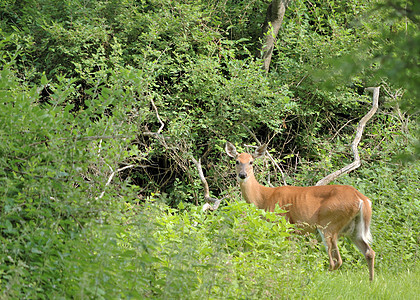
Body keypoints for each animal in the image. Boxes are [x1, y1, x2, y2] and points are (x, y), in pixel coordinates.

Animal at [226, 141, 378, 282]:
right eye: (237, 161)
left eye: (251, 162)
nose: (242, 174)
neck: (264, 198)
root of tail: (362, 199)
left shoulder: (283, 223)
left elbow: (284, 252)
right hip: (353, 229)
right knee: (369, 252)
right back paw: (370, 282)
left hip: (329, 223)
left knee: (335, 261)